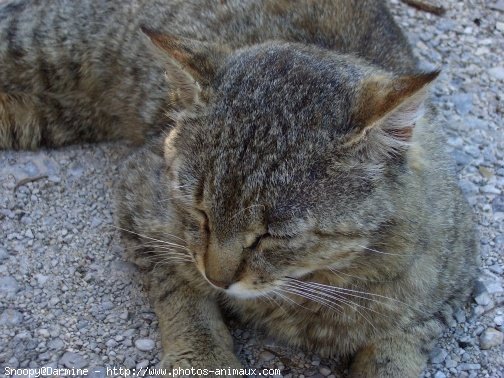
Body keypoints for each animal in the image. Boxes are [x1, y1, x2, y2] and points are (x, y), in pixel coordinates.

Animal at [0, 0, 478, 378]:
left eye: (274, 235)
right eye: (199, 211)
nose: (219, 277)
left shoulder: (445, 298)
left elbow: (395, 353)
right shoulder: (143, 205)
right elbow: (183, 294)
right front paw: (205, 359)